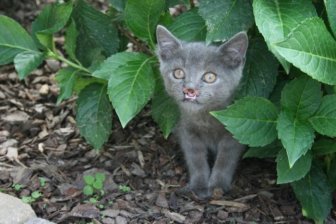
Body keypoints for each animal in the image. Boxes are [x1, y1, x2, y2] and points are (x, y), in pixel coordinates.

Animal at [156, 25, 248, 199]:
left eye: (210, 77)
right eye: (178, 73)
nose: (189, 89)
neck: (206, 118)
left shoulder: (234, 132)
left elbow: (226, 157)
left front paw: (218, 185)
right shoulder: (186, 129)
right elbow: (195, 157)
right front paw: (199, 185)